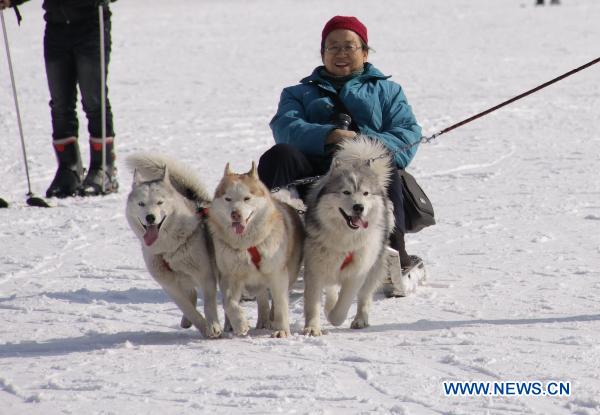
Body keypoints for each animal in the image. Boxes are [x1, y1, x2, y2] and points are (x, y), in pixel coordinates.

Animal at [125, 154, 221, 340]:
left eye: (160, 202)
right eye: (141, 204)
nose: (150, 217)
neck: (169, 248)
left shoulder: (206, 276)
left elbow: (209, 304)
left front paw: (213, 326)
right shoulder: (169, 285)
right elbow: (188, 308)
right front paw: (202, 326)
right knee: (191, 295)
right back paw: (186, 321)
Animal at [210, 162, 304, 338]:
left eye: (247, 198)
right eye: (228, 199)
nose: (235, 214)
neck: (247, 245)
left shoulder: (278, 274)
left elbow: (281, 304)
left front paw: (282, 329)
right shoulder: (230, 275)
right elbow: (229, 302)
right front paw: (240, 323)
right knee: (261, 297)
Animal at [304, 138, 394, 336]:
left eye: (366, 193)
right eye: (346, 192)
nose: (358, 207)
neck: (344, 240)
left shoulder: (358, 271)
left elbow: (344, 303)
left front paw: (334, 317)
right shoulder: (315, 268)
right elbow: (313, 302)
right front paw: (312, 327)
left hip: (374, 266)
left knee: (364, 296)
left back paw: (360, 319)